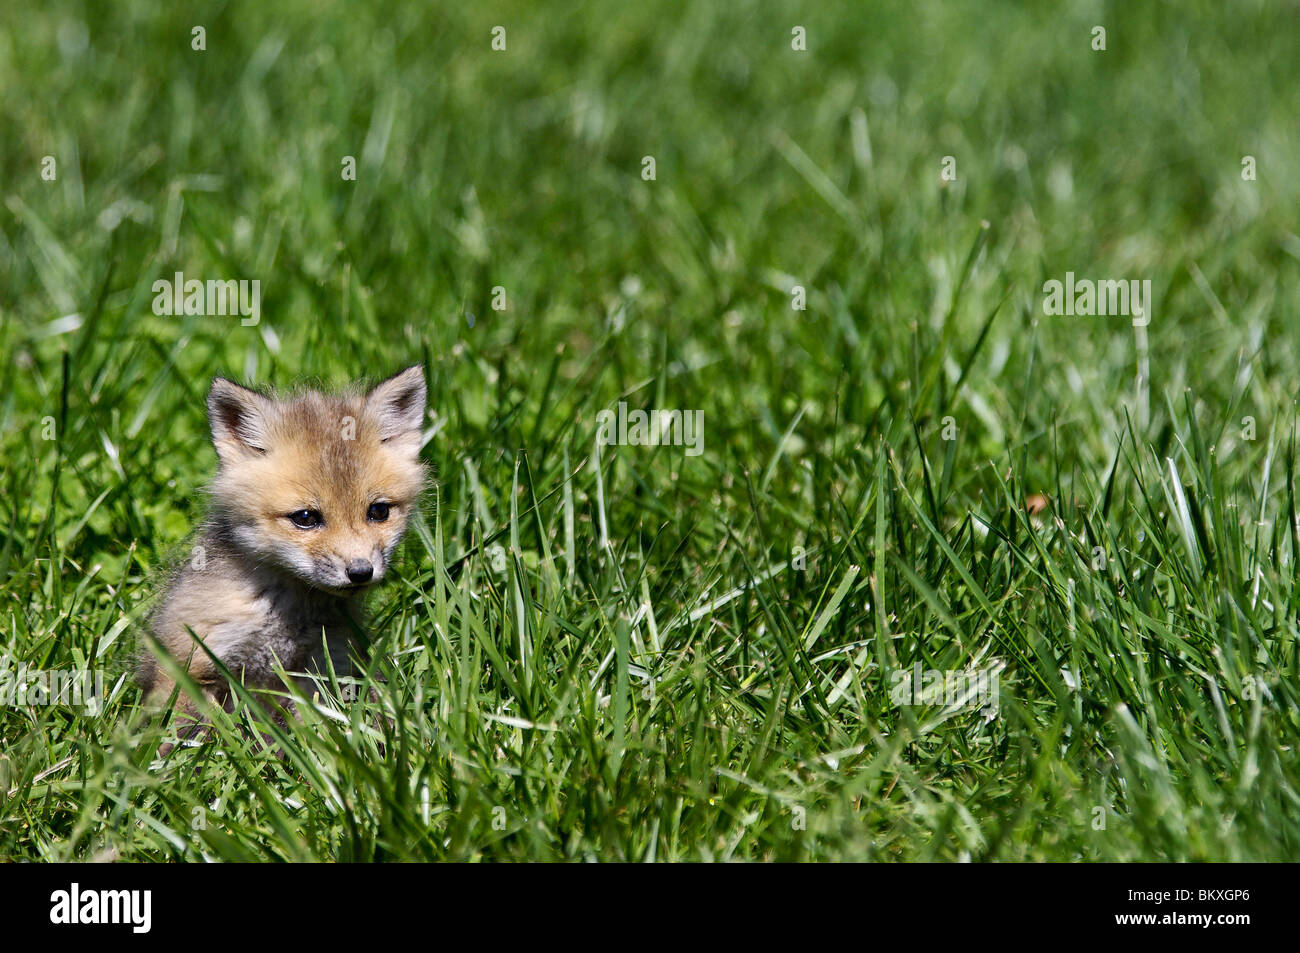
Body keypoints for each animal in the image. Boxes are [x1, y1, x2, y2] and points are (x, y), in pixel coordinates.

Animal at [137, 365, 427, 735]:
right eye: (305, 518)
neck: (288, 618)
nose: (361, 572)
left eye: (378, 511)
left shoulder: (324, 670)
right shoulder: (191, 663)